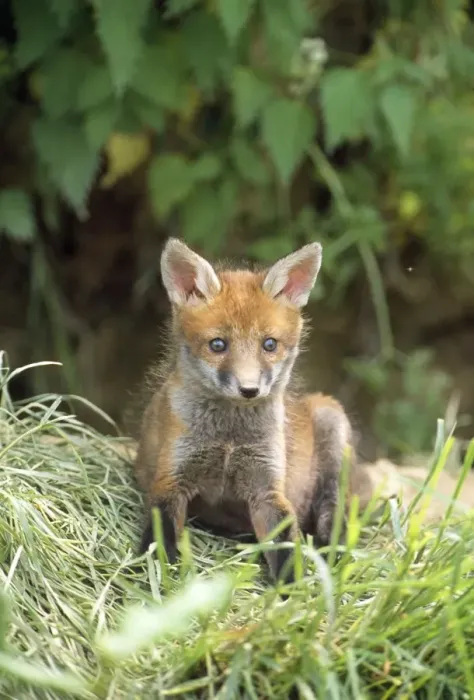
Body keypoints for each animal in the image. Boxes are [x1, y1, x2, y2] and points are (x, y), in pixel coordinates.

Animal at [133, 238, 370, 585]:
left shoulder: (266, 490)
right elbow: (159, 538)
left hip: (332, 421)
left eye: (269, 345)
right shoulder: (171, 478)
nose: (249, 390)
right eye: (218, 345)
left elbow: (287, 550)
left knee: (333, 511)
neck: (230, 440)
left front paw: (294, 591)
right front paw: (154, 576)